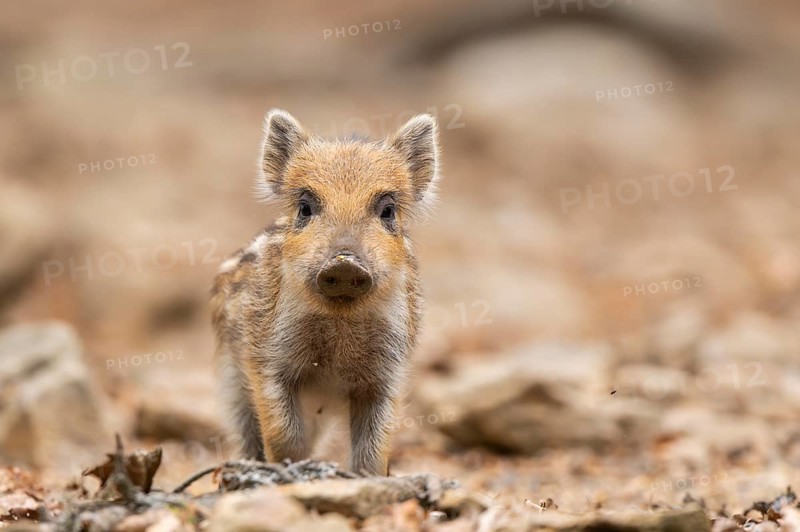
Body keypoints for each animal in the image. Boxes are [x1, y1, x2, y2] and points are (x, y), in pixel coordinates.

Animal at [210, 109, 440, 475]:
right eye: (305, 207)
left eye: (387, 210)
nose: (344, 263)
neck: (339, 325)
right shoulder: (267, 358)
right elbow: (284, 436)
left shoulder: (387, 373)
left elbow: (373, 451)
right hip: (231, 380)